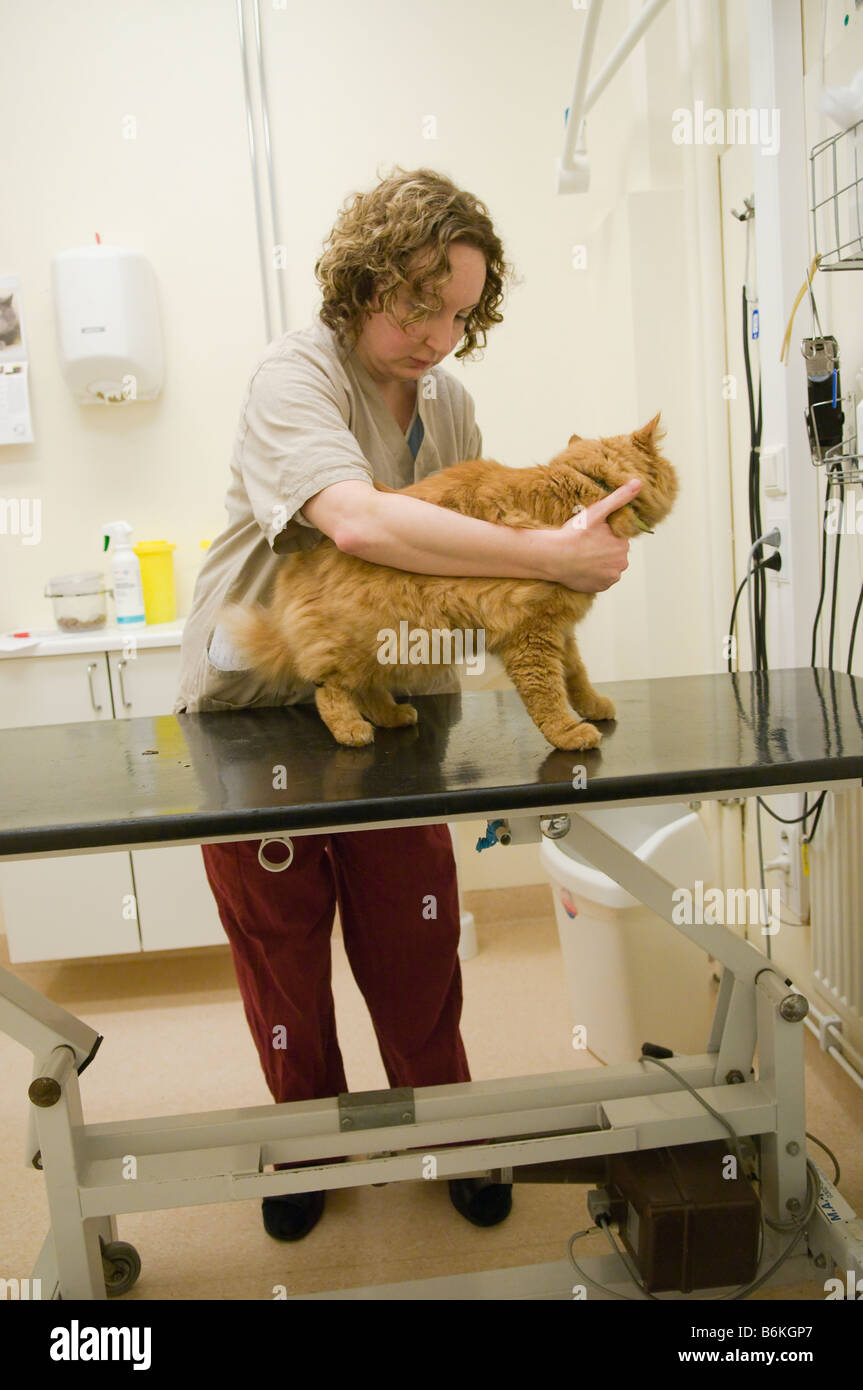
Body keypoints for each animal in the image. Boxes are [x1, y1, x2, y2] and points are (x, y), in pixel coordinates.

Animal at [218, 411, 675, 750]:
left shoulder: (561, 630)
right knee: (330, 689)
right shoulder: (531, 633)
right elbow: (546, 691)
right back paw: (352, 730)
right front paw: (567, 732)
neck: (587, 486)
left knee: (364, 687)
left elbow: (576, 674)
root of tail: (298, 561)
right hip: (361, 642)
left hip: (386, 647)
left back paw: (392, 715)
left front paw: (593, 704)